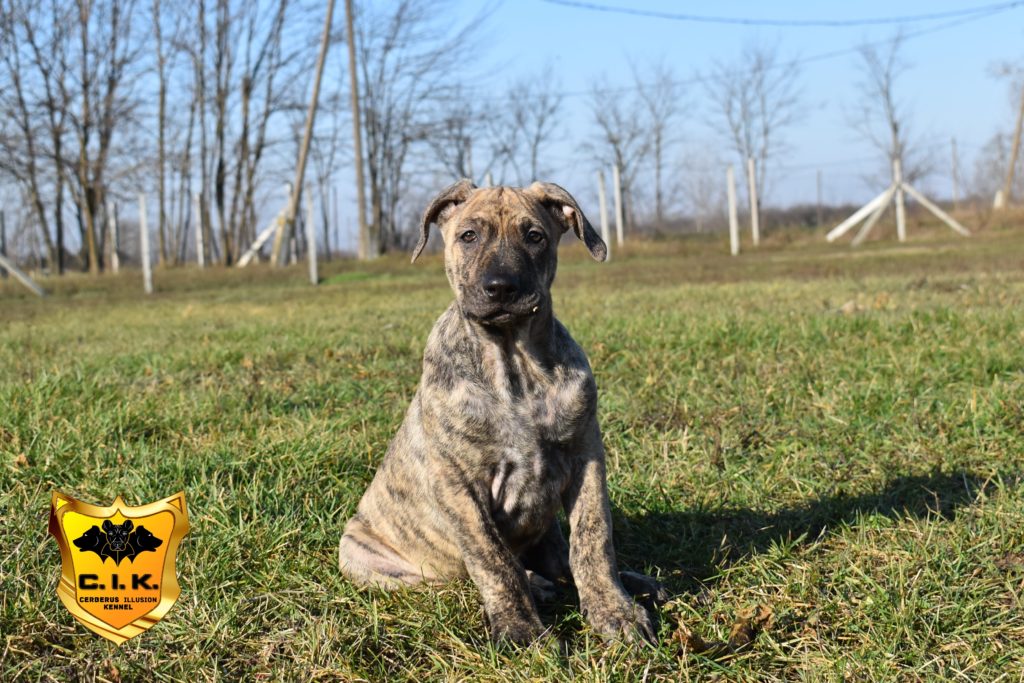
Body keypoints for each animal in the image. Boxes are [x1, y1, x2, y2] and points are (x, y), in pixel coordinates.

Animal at [339, 179, 659, 643]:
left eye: (535, 236)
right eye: (469, 236)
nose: (501, 287)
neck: (514, 363)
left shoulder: (586, 457)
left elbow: (593, 539)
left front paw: (615, 611)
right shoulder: (458, 482)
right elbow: (492, 560)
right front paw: (520, 627)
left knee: (560, 556)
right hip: (363, 555)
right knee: (453, 580)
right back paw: (535, 586)